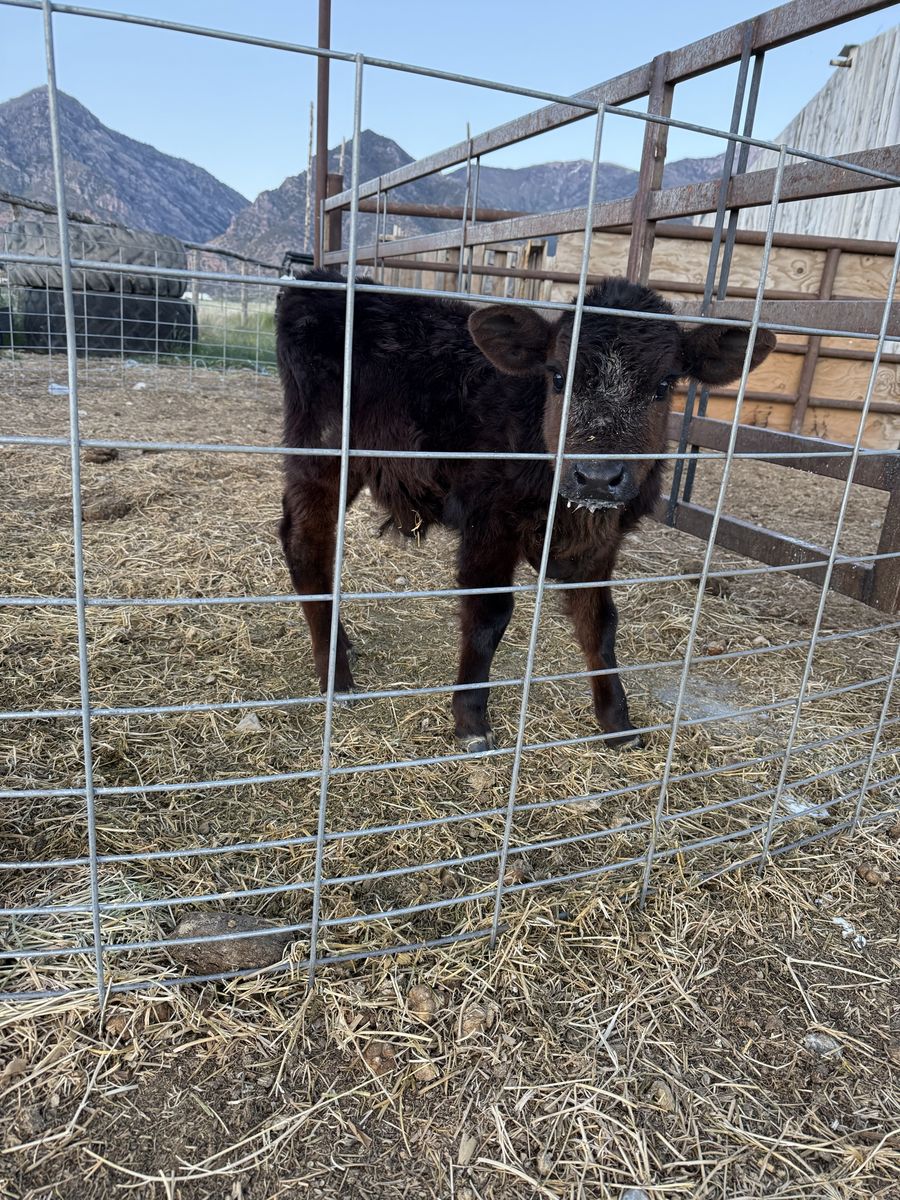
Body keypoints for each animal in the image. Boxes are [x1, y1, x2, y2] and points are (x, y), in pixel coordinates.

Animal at [276, 269, 774, 752]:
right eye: (557, 376)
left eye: (664, 384)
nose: (597, 476)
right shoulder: (488, 522)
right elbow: (489, 615)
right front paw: (472, 720)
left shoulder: (604, 540)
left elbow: (601, 623)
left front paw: (618, 722)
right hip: (322, 449)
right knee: (306, 545)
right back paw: (337, 677)